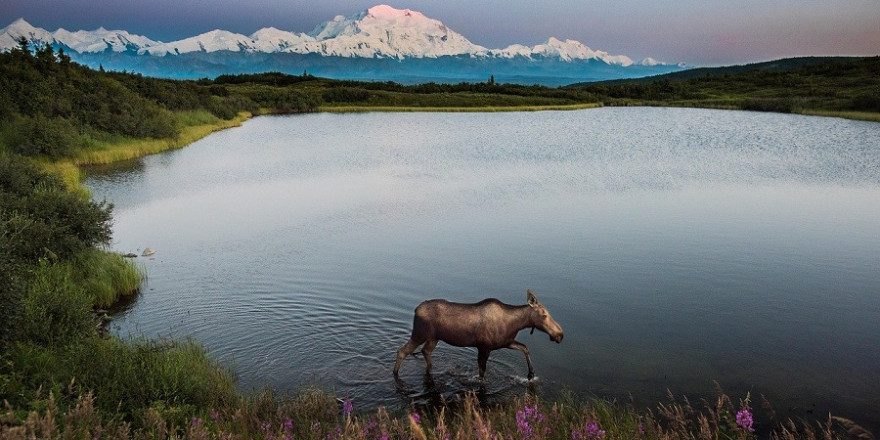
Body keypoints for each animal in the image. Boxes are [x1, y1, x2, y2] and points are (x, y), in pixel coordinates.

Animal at [392, 290, 564, 380]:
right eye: (544, 314)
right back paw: (395, 374)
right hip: (419, 333)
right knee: (402, 350)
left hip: (434, 338)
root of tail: (415, 310)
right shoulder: (484, 347)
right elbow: (482, 374)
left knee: (425, 351)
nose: (560, 334)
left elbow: (525, 347)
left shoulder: (506, 342)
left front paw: (531, 373)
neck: (514, 325)